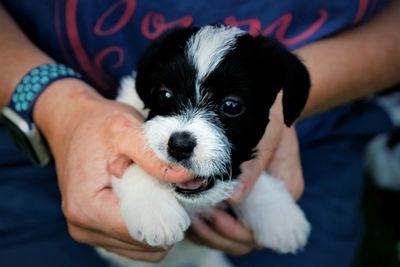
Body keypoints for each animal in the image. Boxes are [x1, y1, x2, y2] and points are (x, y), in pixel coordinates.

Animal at [97, 25, 312, 267]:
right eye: (165, 94)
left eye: (231, 105)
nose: (179, 145)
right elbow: (136, 160)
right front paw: (155, 209)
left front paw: (279, 212)